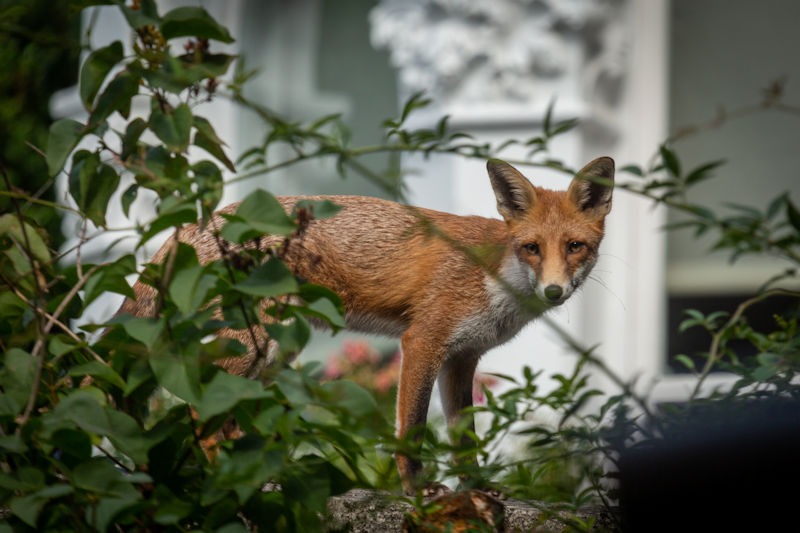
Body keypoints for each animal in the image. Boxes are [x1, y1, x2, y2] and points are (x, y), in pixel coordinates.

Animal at [118, 156, 614, 495]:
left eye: (575, 247)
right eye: (532, 247)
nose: (554, 291)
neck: (494, 277)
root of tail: (203, 221)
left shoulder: (461, 359)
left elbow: (465, 441)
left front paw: (477, 491)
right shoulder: (423, 341)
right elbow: (412, 431)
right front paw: (417, 492)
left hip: (275, 353)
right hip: (254, 344)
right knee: (200, 413)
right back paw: (233, 479)